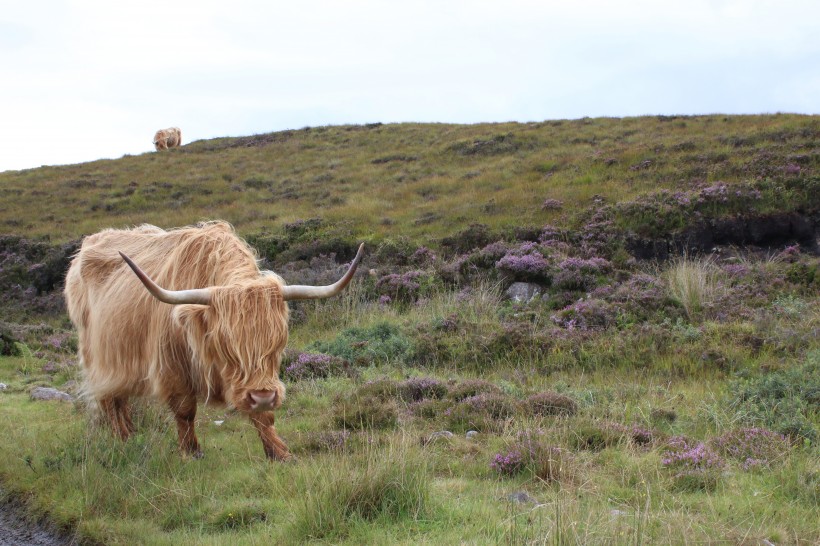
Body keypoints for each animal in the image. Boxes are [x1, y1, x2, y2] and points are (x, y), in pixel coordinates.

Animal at [65, 221, 366, 460]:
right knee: (110, 400)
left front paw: (280, 453)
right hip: (99, 358)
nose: (264, 396)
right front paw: (191, 452)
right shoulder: (173, 366)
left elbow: (263, 417)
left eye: (278, 342)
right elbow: (185, 411)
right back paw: (123, 440)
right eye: (227, 343)